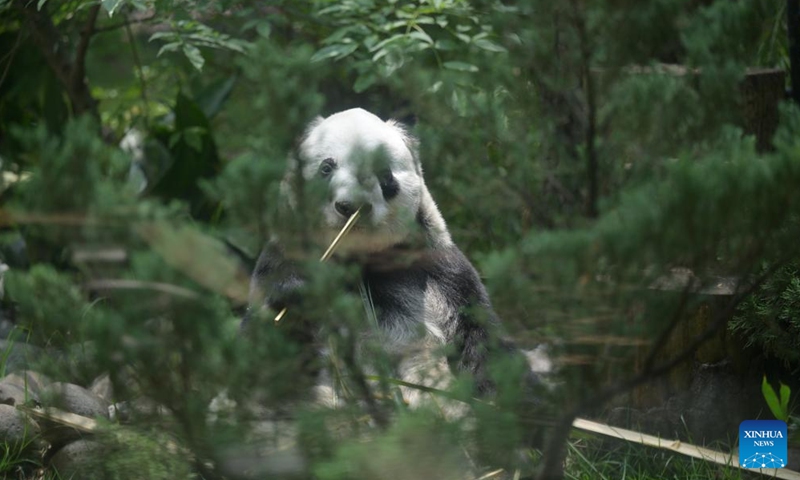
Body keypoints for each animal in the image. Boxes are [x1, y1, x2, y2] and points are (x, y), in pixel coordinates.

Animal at [244, 108, 544, 404]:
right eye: (326, 167)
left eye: (384, 175)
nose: (351, 206)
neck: (359, 260)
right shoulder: (280, 260)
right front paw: (295, 301)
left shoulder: (438, 271)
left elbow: (480, 339)